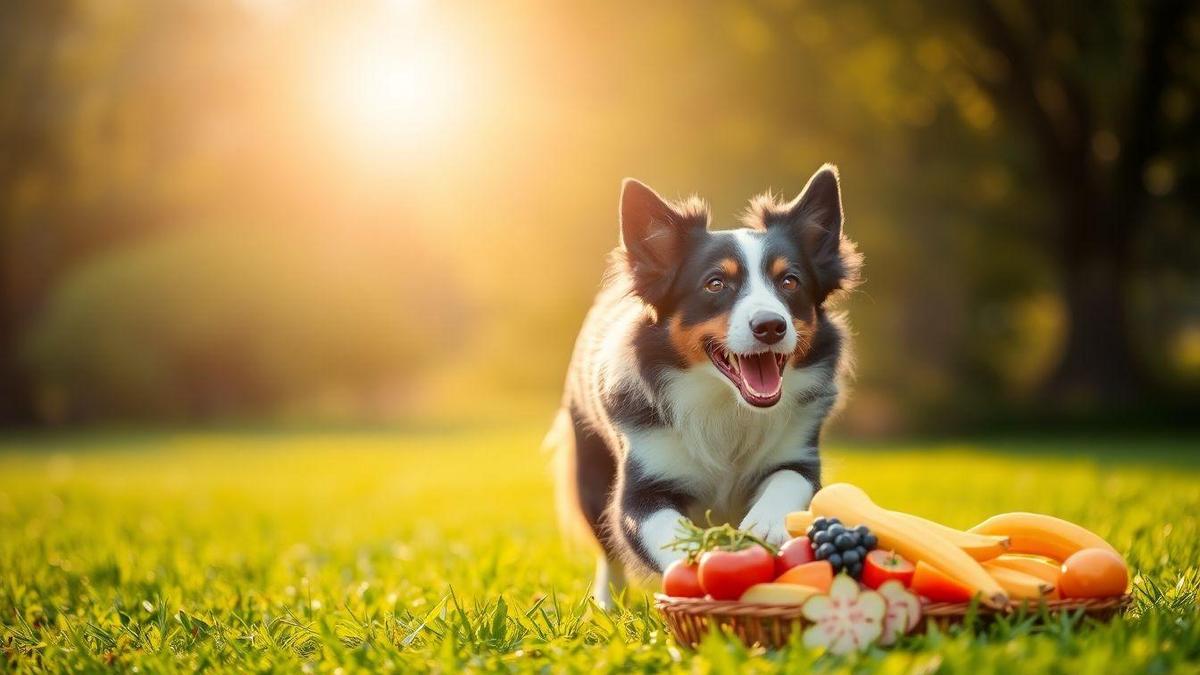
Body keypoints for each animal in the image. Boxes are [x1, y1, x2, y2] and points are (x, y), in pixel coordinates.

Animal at [549, 163, 859, 605]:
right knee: (606, 545)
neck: (725, 403)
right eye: (715, 284)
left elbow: (788, 481)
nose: (771, 326)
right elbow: (654, 524)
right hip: (589, 462)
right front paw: (694, 554)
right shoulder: (642, 479)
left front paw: (765, 526)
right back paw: (608, 602)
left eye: (790, 282)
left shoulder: (799, 454)